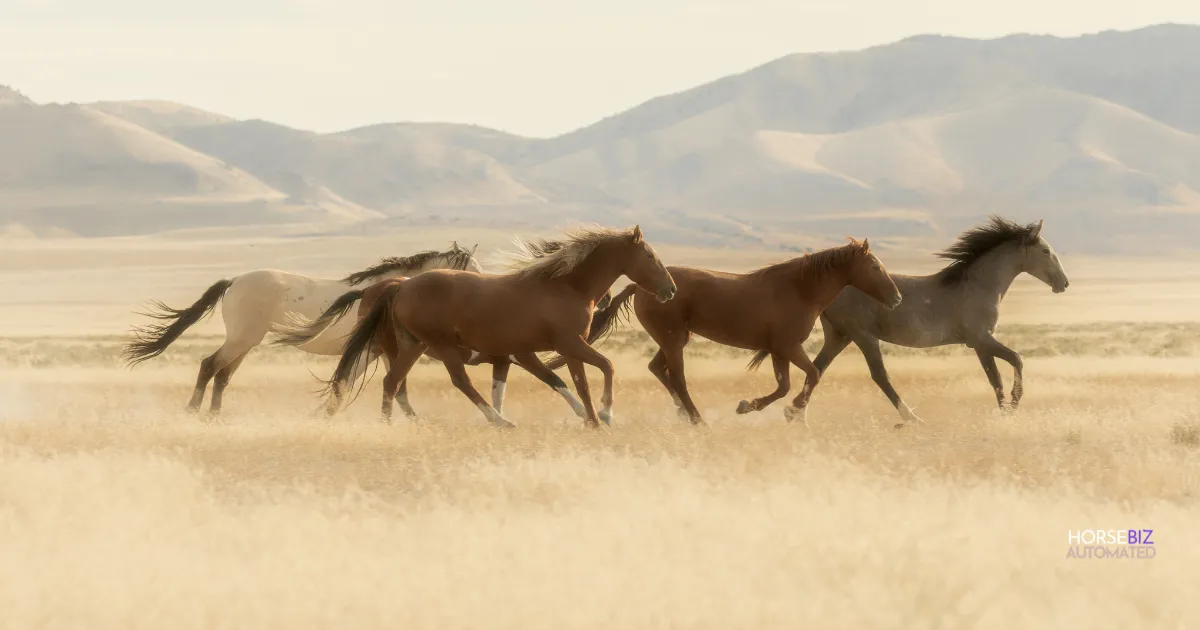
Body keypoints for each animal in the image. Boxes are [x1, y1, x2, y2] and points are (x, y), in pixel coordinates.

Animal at [119, 243, 480, 415]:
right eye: (470, 270)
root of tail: (234, 280)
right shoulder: (368, 350)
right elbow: (347, 382)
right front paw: (323, 413)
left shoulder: (379, 351)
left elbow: (374, 383)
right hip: (241, 339)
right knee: (210, 366)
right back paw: (193, 411)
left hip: (246, 342)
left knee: (222, 374)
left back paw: (214, 416)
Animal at [319, 224, 676, 427]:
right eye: (650, 256)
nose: (670, 290)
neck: (567, 286)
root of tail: (401, 286)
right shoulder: (568, 344)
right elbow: (605, 368)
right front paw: (604, 415)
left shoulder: (555, 350)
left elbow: (572, 382)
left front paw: (591, 420)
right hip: (441, 346)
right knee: (458, 381)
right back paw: (499, 421)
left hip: (412, 345)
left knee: (393, 383)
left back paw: (389, 425)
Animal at [547, 238, 902, 424]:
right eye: (875, 266)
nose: (897, 298)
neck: (799, 290)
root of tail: (642, 287)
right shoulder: (788, 347)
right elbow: (810, 376)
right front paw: (779, 410)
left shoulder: (778, 350)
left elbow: (785, 385)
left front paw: (755, 406)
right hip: (673, 340)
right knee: (676, 377)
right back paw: (696, 418)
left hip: (677, 338)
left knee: (657, 368)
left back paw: (683, 413)